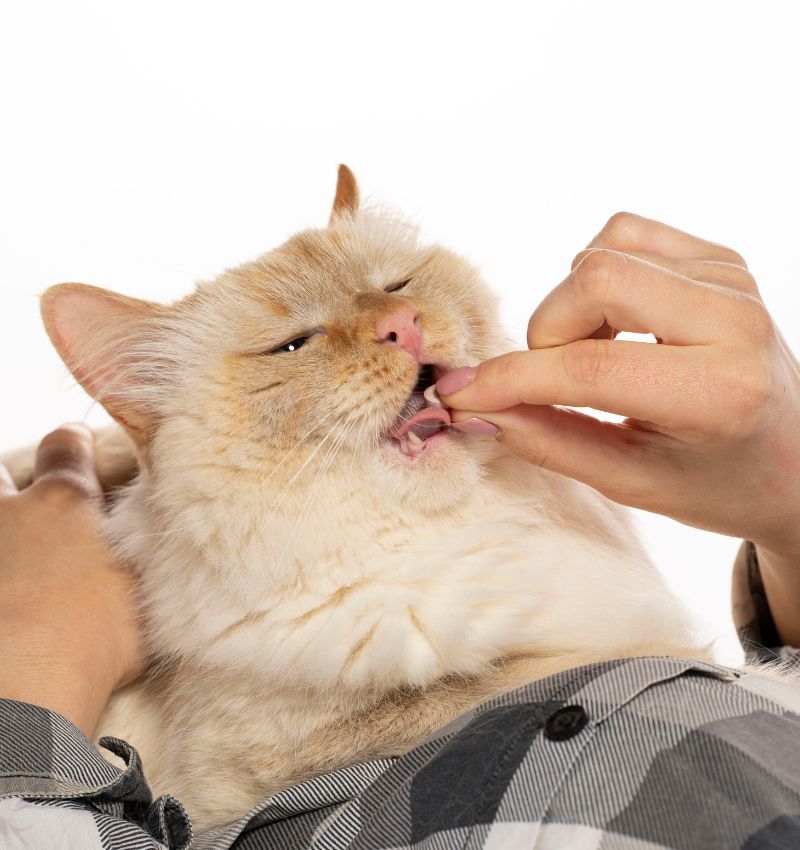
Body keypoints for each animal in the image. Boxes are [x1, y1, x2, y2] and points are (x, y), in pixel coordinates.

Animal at [4, 169, 708, 832]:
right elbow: (574, 667)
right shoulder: (256, 766)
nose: (402, 326)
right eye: (295, 344)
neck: (435, 540)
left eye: (396, 285)